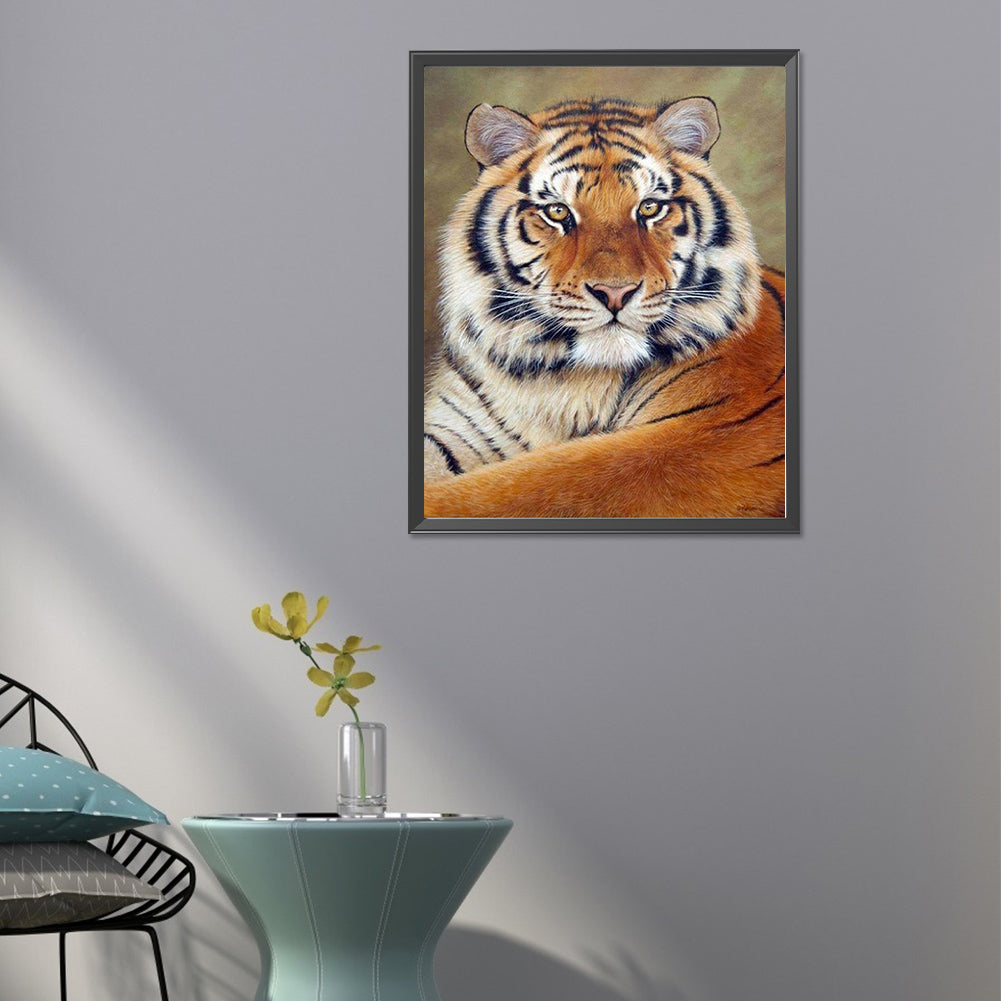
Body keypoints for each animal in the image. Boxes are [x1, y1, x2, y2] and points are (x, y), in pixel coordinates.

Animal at [423, 96, 786, 519]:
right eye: (558, 212)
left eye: (649, 208)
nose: (615, 292)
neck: (559, 382)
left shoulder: (704, 435)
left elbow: (524, 487)